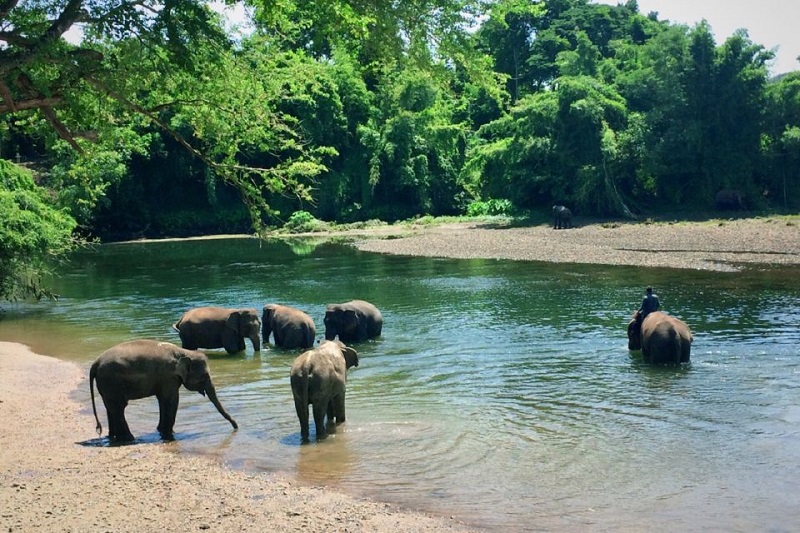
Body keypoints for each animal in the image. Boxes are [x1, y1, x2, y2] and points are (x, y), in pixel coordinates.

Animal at [89, 339, 238, 442]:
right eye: (205, 376)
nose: (236, 426)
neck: (183, 351)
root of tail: (95, 363)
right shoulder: (168, 376)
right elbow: (172, 400)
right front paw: (169, 434)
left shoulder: (164, 379)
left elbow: (162, 400)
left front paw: (161, 430)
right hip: (112, 381)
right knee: (119, 407)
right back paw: (130, 439)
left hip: (106, 384)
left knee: (110, 407)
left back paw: (113, 437)